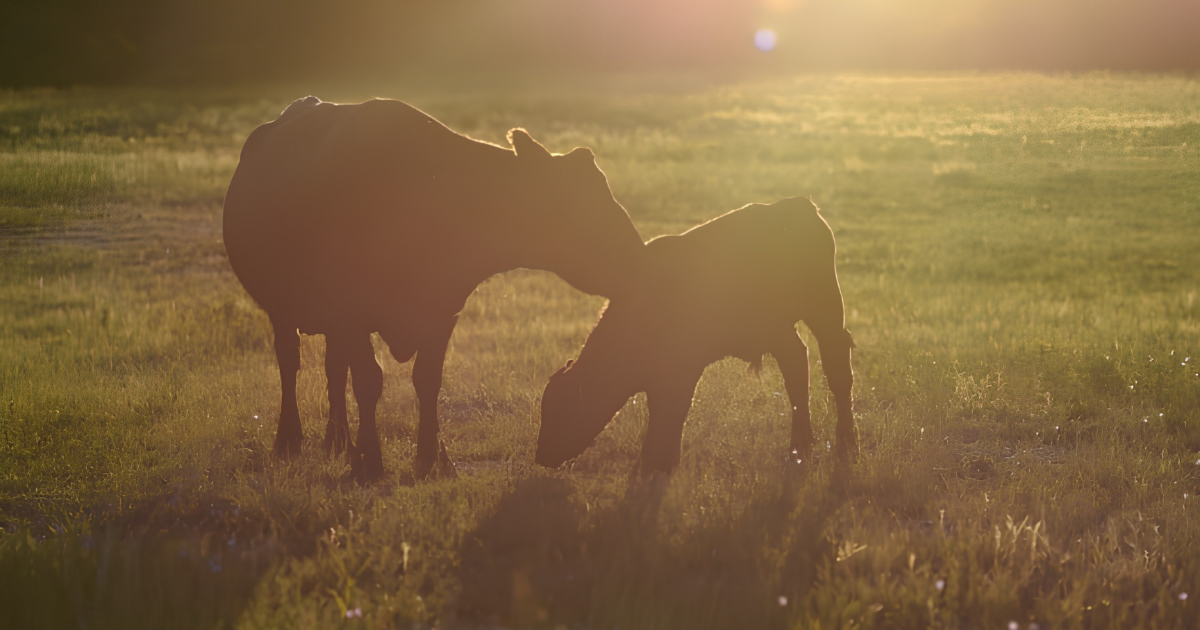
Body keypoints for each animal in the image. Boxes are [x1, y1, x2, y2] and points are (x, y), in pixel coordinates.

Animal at [223, 97, 646, 481]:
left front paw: (433, 459)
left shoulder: (442, 312)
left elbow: (427, 381)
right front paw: (370, 459)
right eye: (574, 201)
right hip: (283, 309)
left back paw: (337, 440)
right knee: (290, 362)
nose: (637, 255)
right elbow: (369, 381)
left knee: (333, 369)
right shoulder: (353, 314)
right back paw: (289, 439)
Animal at [535, 198, 856, 474]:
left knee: (836, 369)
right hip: (782, 331)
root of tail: (797, 205)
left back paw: (845, 442)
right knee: (798, 368)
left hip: (825, 314)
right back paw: (802, 446)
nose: (541, 457)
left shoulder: (682, 372)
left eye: (561, 410)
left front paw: (658, 463)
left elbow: (672, 412)